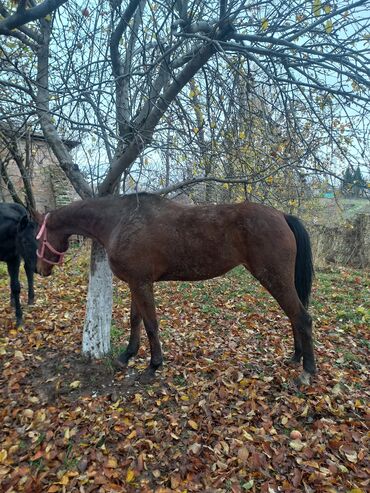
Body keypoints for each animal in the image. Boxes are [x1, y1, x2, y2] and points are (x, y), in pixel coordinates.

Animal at [36, 192, 316, 384]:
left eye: (38, 236)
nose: (40, 270)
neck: (120, 221)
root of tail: (282, 216)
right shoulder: (137, 282)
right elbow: (136, 320)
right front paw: (127, 355)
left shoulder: (141, 283)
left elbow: (150, 324)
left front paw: (153, 365)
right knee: (294, 317)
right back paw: (296, 357)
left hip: (274, 279)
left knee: (302, 318)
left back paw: (307, 371)